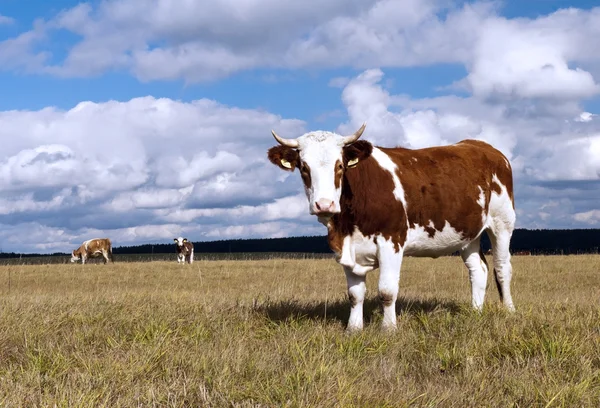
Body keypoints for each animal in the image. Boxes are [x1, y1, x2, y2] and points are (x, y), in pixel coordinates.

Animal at [268, 123, 516, 332]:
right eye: (303, 167)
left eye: (340, 166)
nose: (324, 204)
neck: (347, 224)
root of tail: (483, 146)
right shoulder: (346, 248)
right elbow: (355, 294)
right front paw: (353, 329)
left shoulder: (391, 241)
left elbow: (386, 291)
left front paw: (388, 329)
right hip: (468, 232)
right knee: (478, 270)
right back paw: (475, 312)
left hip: (502, 223)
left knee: (502, 268)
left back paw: (509, 311)